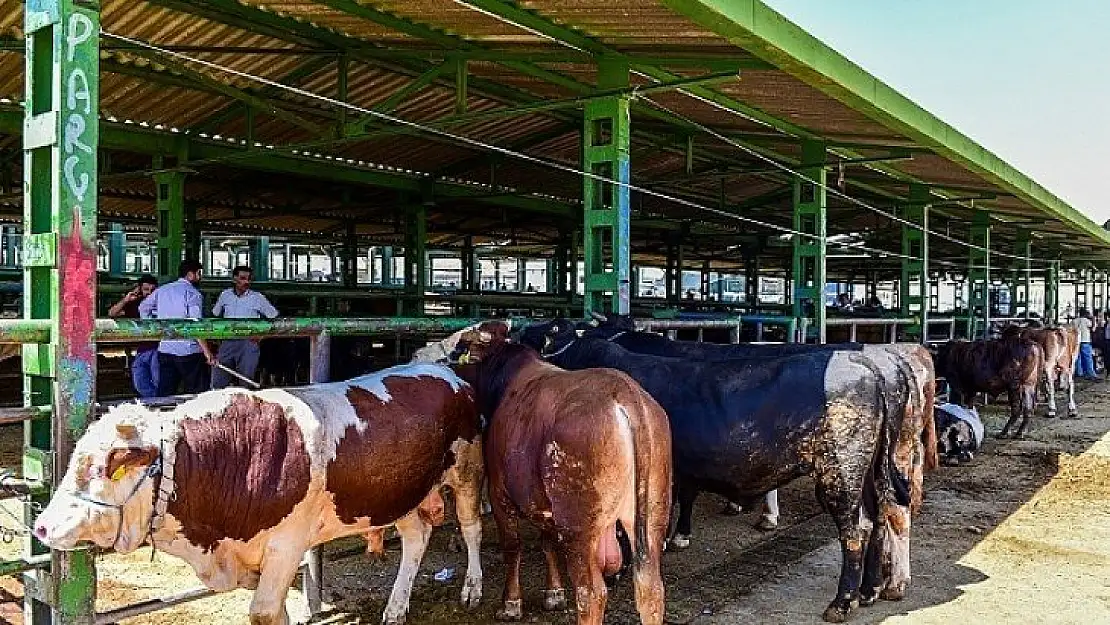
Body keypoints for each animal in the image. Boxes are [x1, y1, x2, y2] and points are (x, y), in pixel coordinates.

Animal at [34, 361, 483, 625]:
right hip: (397, 494)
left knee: (471, 527)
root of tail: (448, 373)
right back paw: (395, 609)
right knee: (415, 538)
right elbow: (275, 612)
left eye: (105, 467)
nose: (41, 527)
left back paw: (472, 590)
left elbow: (265, 613)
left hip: (466, 471)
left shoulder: (288, 545)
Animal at [455, 337, 670, 625]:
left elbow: (512, 546)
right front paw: (554, 593)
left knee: (591, 593)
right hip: (651, 516)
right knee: (651, 588)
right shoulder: (542, 502)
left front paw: (511, 603)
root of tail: (625, 392)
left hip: (578, 525)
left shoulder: (499, 492)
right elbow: (547, 542)